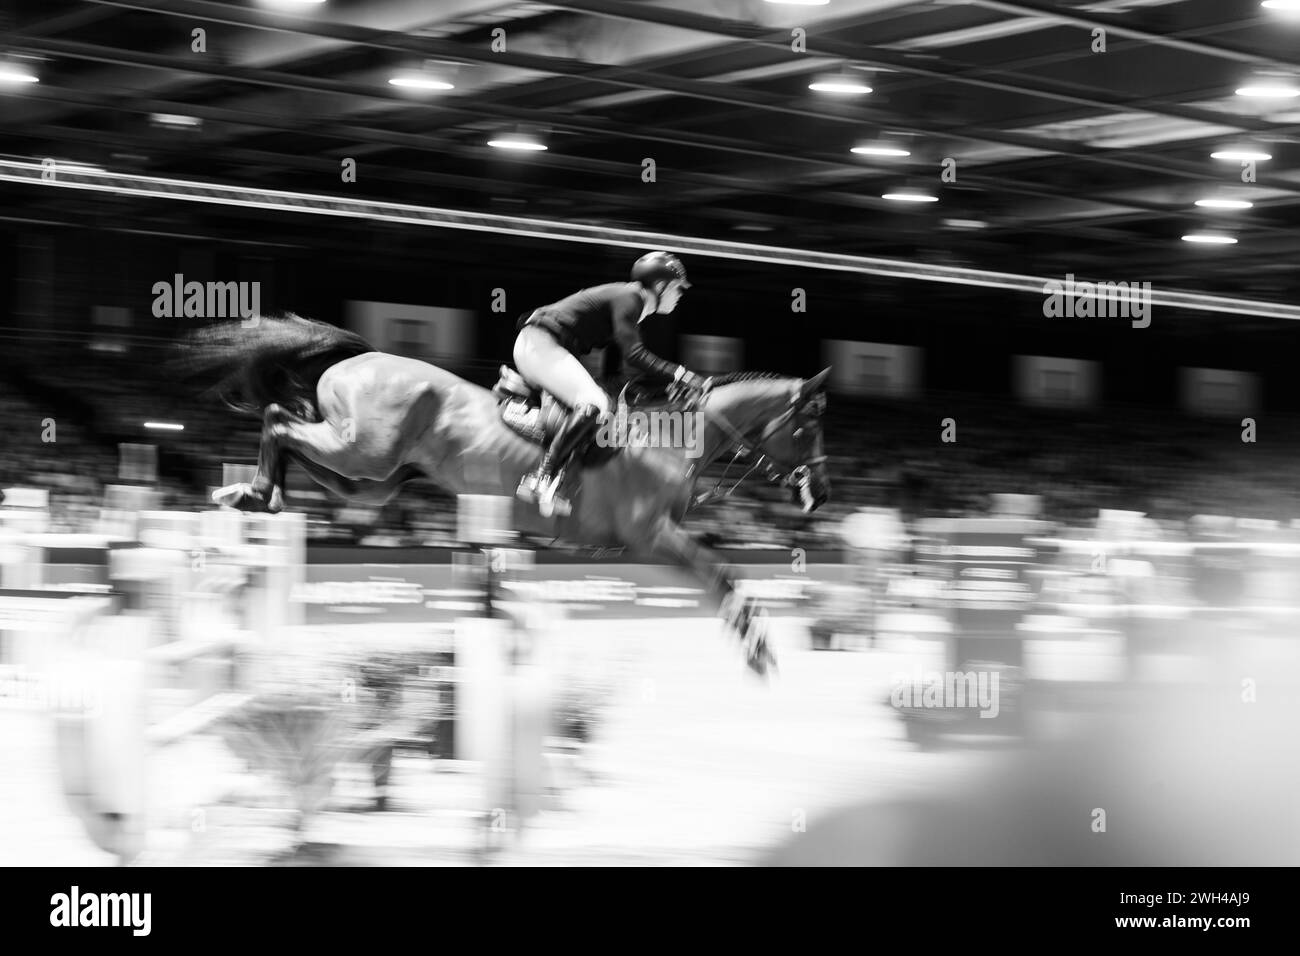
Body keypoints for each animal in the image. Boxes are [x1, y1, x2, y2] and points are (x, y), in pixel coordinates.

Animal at [180, 314, 832, 671]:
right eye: (807, 428)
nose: (821, 494)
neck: (673, 441)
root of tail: (363, 356)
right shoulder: (653, 538)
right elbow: (724, 576)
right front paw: (758, 652)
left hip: (373, 475)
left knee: (293, 431)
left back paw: (257, 494)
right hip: (364, 451)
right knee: (278, 420)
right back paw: (253, 492)